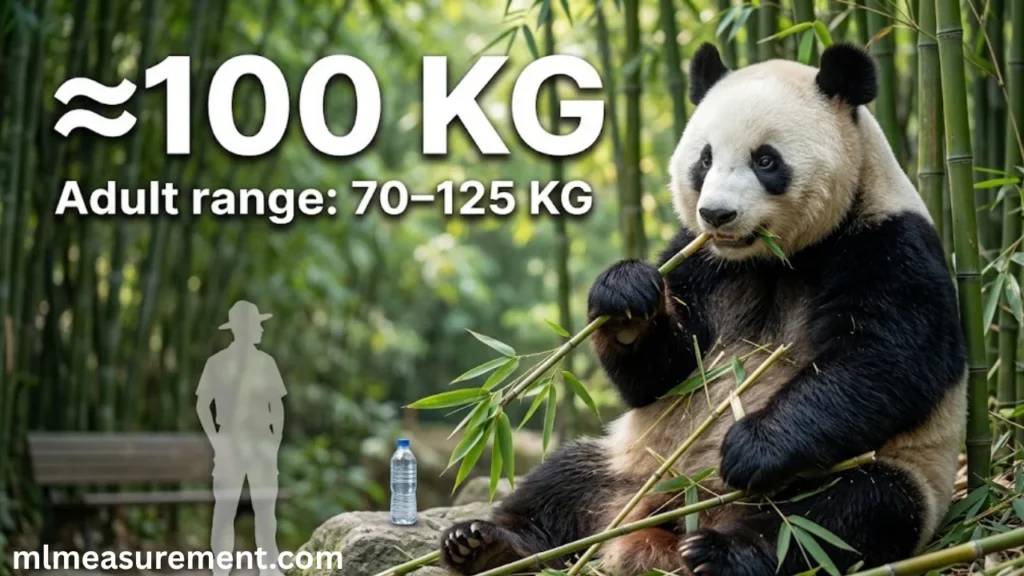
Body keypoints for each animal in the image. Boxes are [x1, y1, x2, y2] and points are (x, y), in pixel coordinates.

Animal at [438, 42, 967, 576]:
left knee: (844, 511)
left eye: (765, 160)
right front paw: (626, 300)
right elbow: (659, 374)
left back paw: (722, 553)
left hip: (881, 474)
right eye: (705, 159)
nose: (716, 214)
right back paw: (488, 542)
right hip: (632, 460)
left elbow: (881, 360)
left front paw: (750, 448)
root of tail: (673, 513)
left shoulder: (886, 243)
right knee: (564, 478)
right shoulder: (698, 258)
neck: (772, 258)